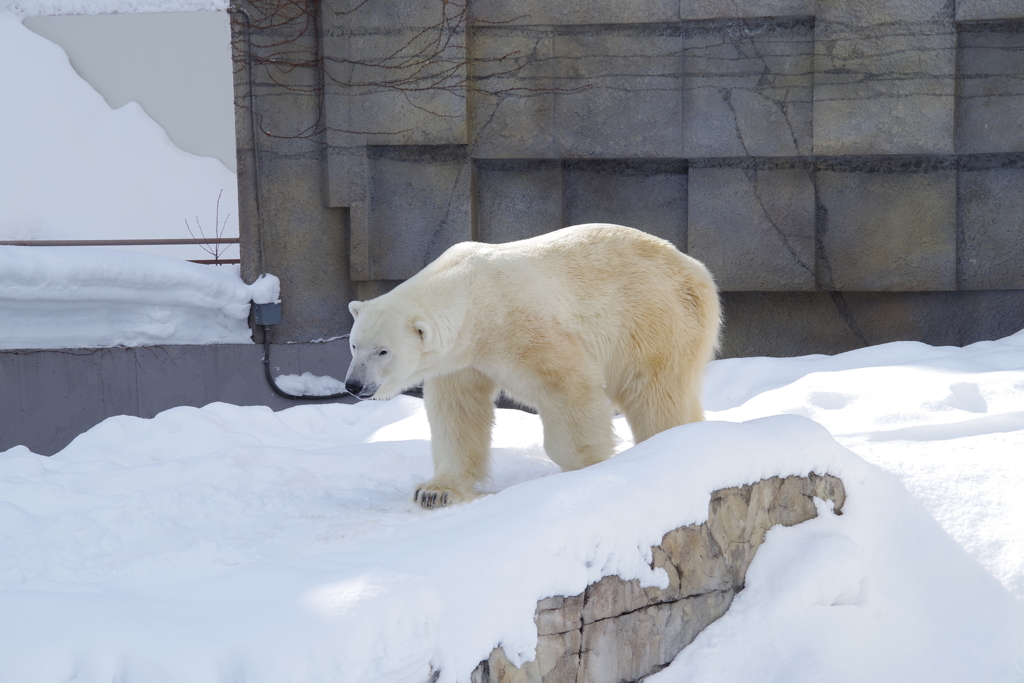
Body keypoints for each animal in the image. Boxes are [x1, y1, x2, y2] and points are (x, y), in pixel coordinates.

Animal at [344, 224, 720, 507]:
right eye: (354, 345)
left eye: (383, 351)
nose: (354, 385)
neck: (472, 295)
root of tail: (696, 269)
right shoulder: (460, 359)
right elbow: (457, 412)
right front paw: (436, 491)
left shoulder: (521, 325)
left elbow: (568, 386)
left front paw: (586, 468)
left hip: (652, 319)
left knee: (654, 393)